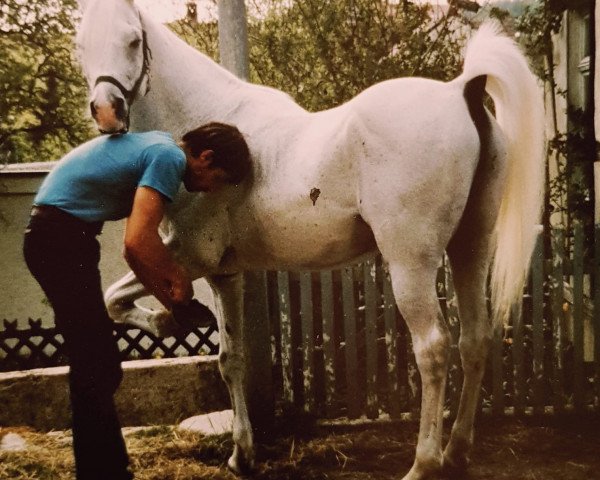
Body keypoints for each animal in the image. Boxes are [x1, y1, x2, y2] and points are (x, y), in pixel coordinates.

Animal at [74, 1, 544, 478]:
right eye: (81, 44)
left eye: (133, 39)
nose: (107, 111)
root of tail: (461, 90)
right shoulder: (226, 274)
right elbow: (230, 360)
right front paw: (241, 455)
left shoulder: (191, 256)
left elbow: (115, 299)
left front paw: (169, 321)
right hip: (471, 248)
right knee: (475, 339)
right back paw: (457, 452)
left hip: (411, 263)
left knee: (433, 348)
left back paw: (424, 463)